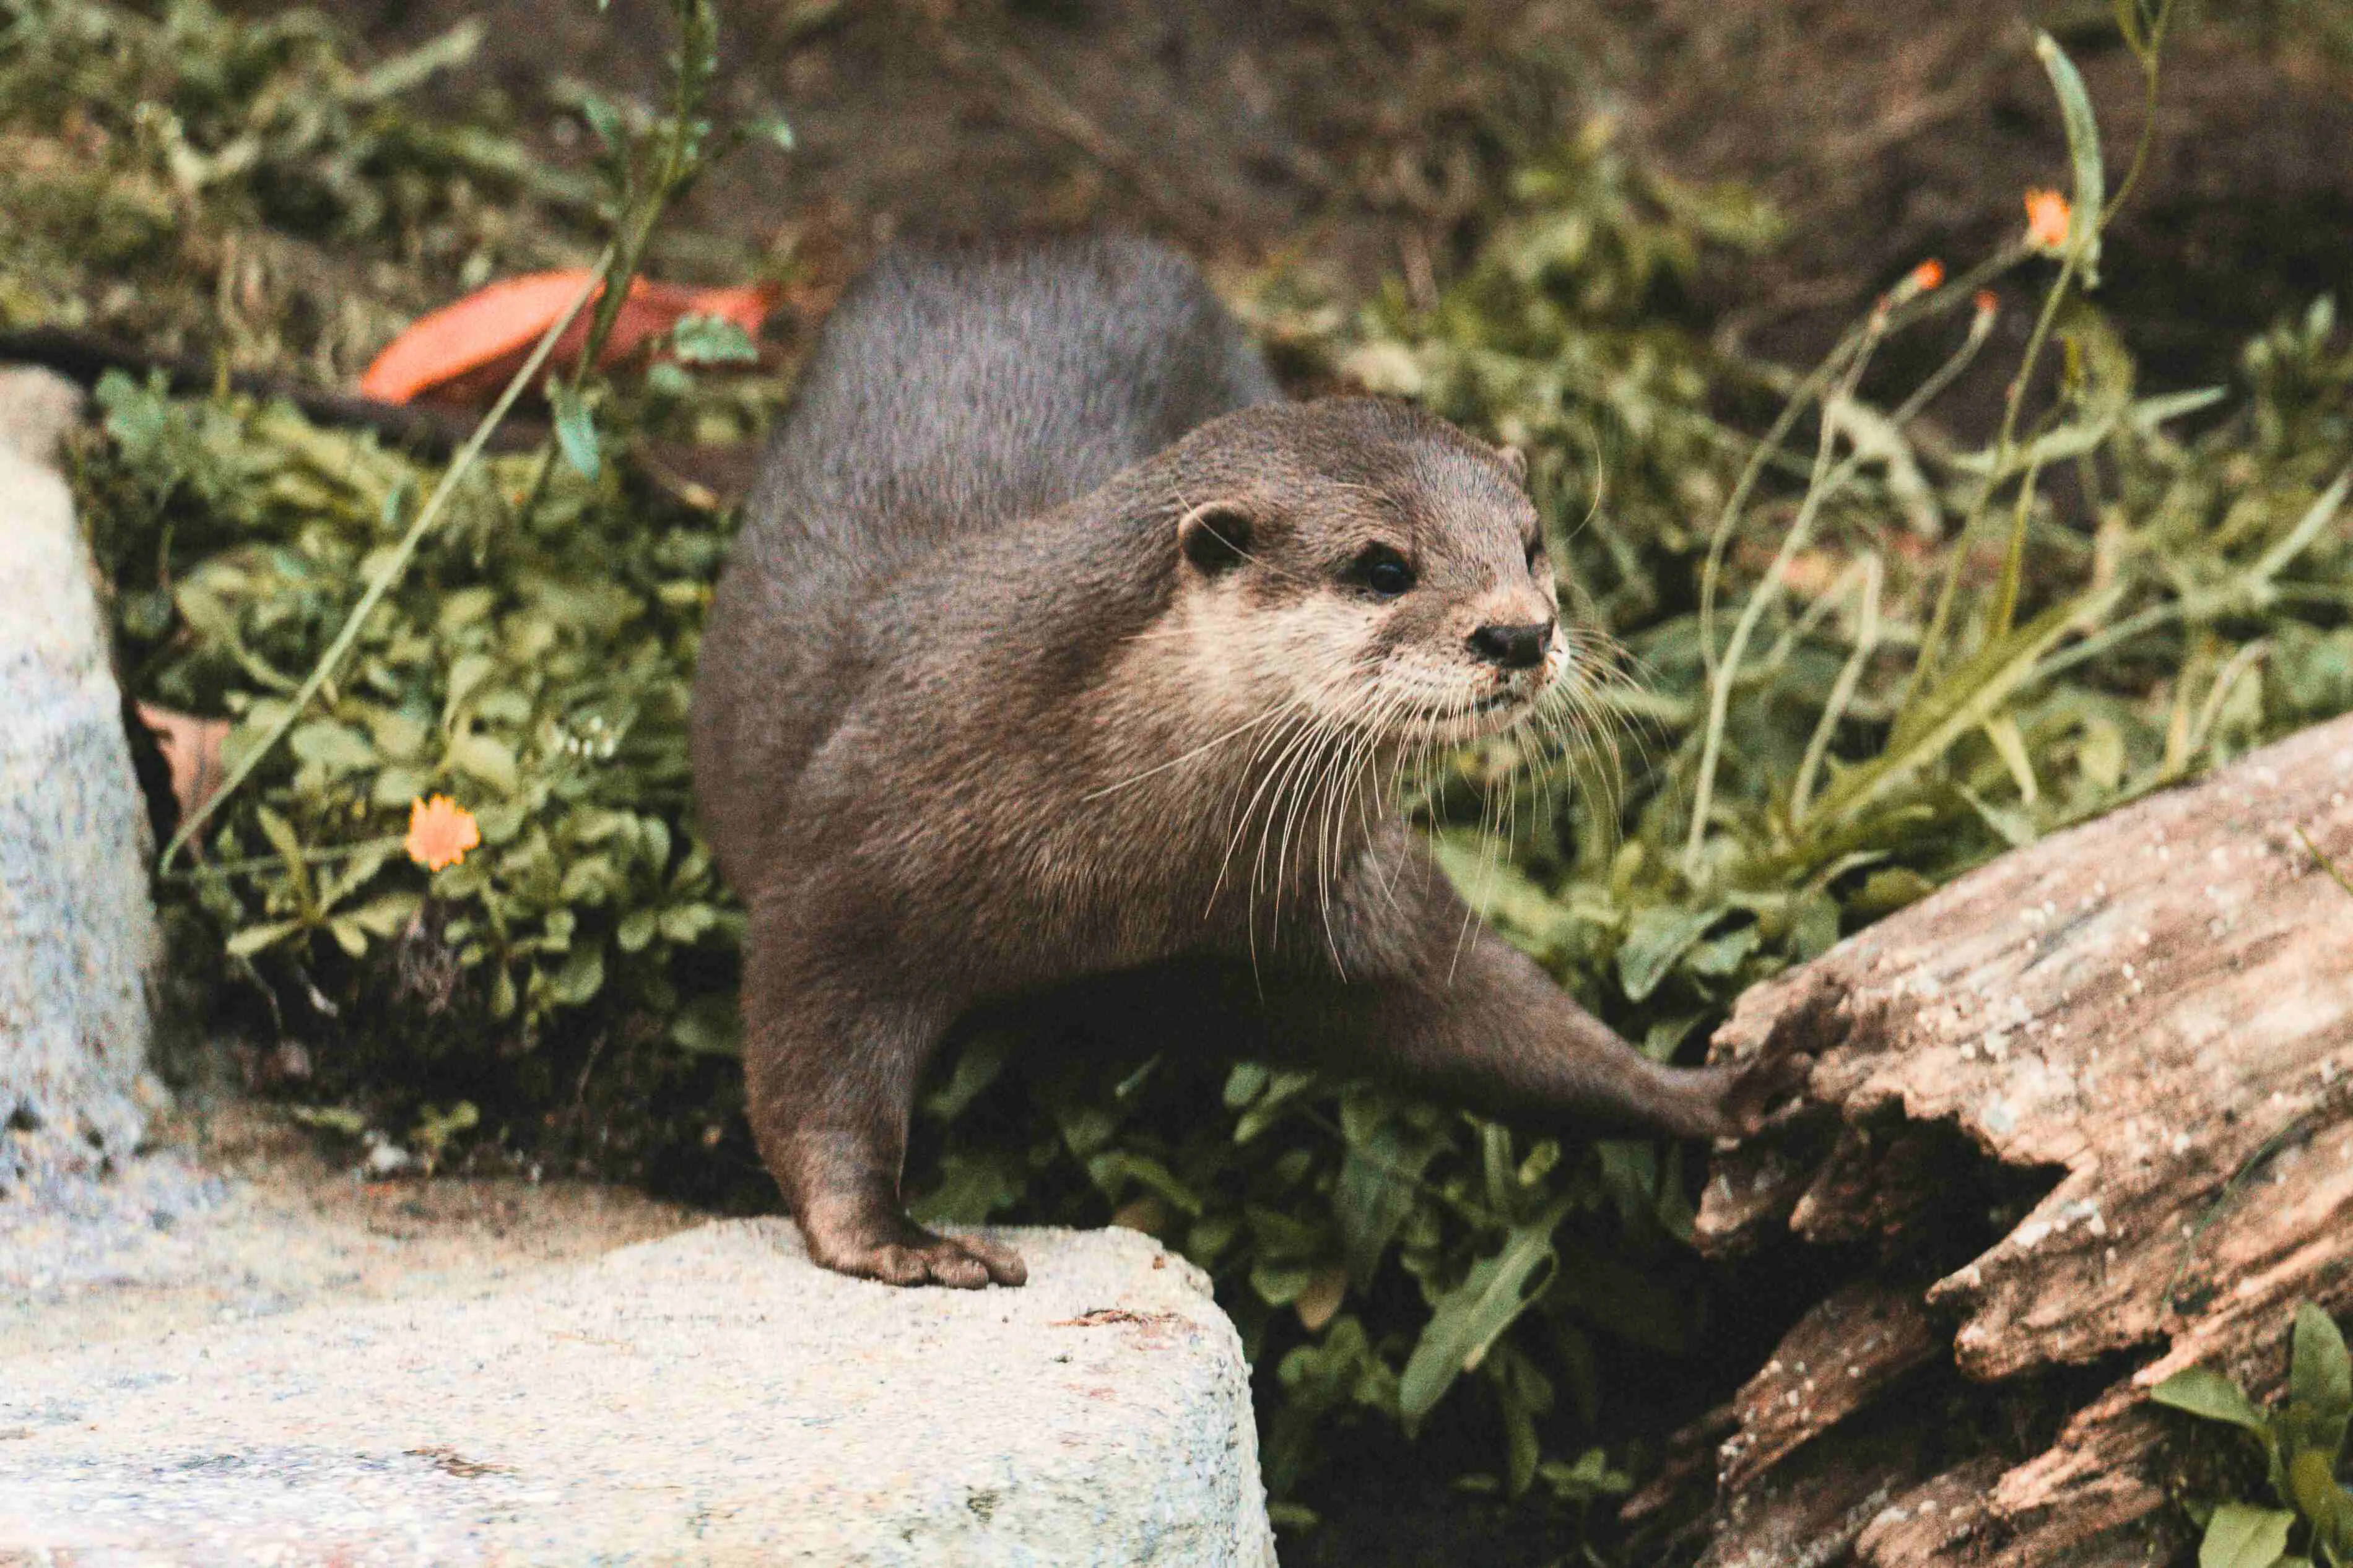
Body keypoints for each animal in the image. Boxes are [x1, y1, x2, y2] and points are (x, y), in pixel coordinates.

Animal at [692, 234, 1776, 1289]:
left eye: (1533, 545)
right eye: (1384, 567)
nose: (1521, 631)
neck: (1112, 868)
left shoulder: (1336, 885)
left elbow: (1494, 1010)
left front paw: (1719, 1090)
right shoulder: (850, 856)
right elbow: (811, 1061)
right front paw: (894, 1237)